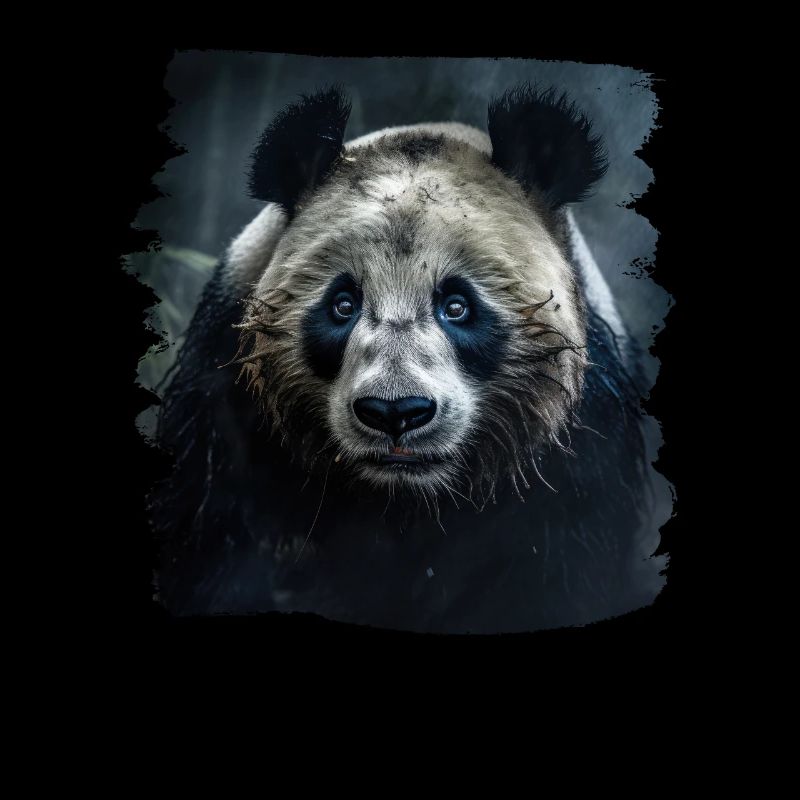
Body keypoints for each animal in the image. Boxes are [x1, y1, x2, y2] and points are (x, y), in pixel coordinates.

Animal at [150, 84, 664, 633]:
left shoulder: (582, 446)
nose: (394, 413)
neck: (404, 497)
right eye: (343, 304)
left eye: (457, 306)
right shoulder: (221, 405)